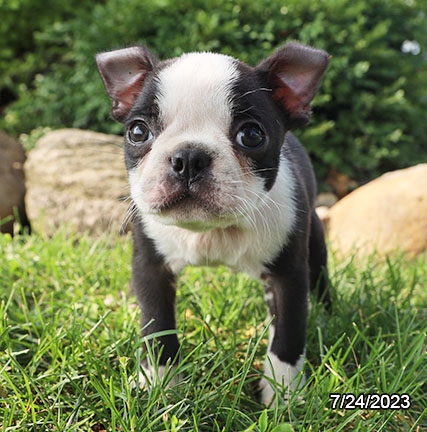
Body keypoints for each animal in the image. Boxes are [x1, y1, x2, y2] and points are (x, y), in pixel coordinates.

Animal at [96, 42, 332, 404]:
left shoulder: (289, 275)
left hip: (316, 244)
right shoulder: (151, 267)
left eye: (251, 135)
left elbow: (288, 334)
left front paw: (283, 393)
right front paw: (160, 386)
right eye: (137, 132)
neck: (214, 232)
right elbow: (157, 326)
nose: (189, 157)